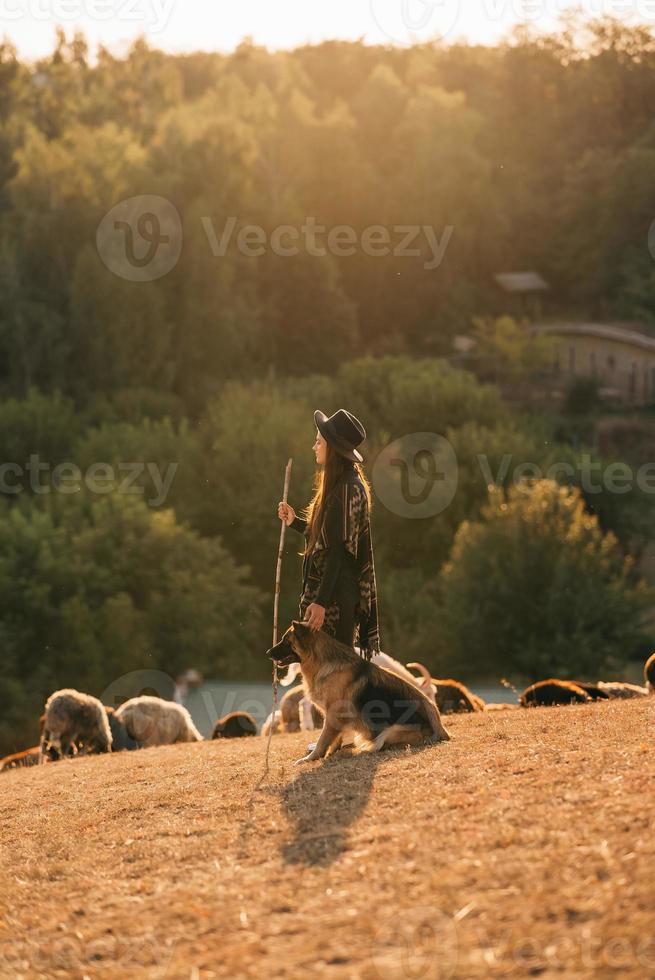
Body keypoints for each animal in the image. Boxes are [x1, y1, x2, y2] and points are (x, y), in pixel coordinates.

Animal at [266, 620, 452, 764]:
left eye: (285, 640)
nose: (267, 653)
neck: (324, 662)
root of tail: (441, 728)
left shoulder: (333, 715)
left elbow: (322, 740)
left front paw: (311, 758)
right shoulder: (333, 717)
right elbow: (333, 739)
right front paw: (330, 754)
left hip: (390, 731)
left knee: (380, 745)